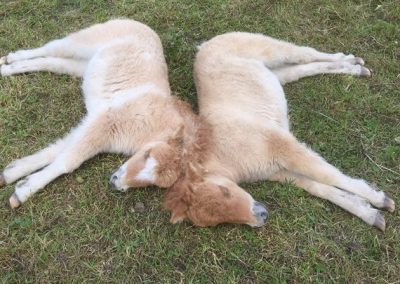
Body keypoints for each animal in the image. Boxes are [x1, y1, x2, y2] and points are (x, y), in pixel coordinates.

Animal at [164, 32, 396, 231]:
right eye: (217, 220)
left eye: (225, 191)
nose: (261, 214)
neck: (228, 153)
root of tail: (205, 45)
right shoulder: (278, 170)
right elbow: (320, 187)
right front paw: (370, 214)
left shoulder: (284, 147)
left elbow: (330, 175)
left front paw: (381, 200)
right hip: (274, 73)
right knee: (301, 69)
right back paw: (353, 68)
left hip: (269, 49)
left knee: (306, 53)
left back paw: (353, 61)